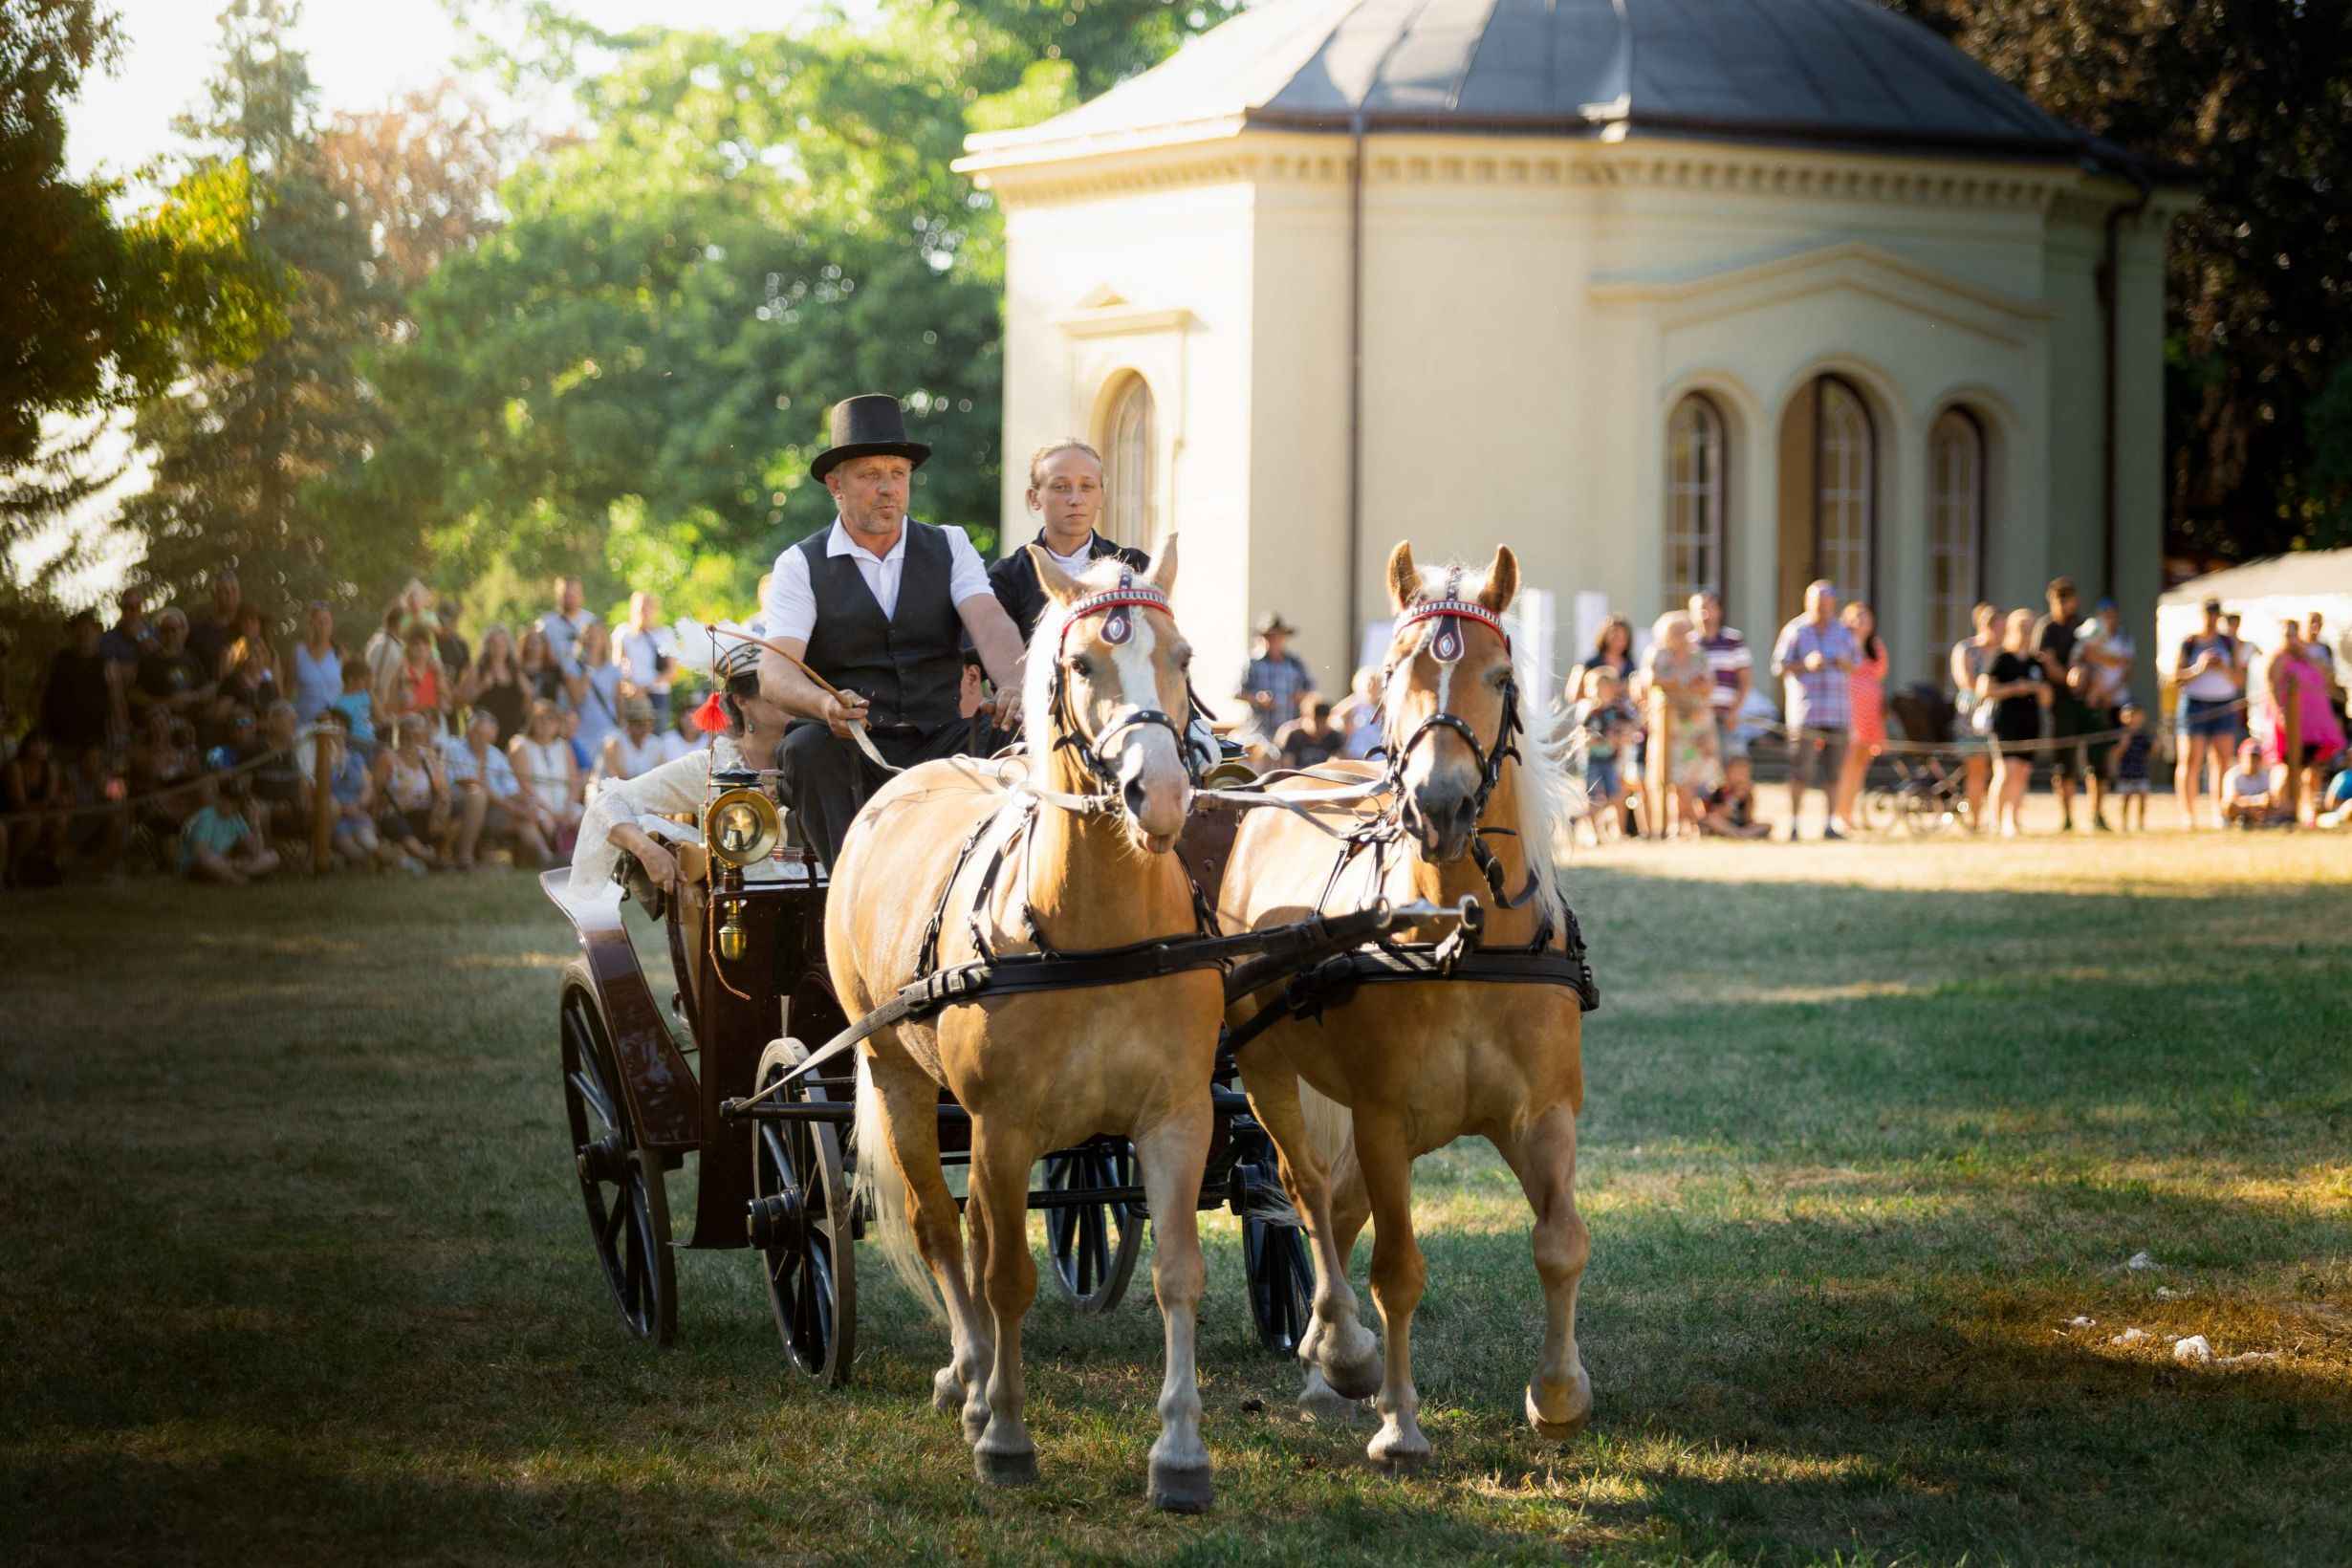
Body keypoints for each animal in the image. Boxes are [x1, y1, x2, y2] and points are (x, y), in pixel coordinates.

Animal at [827, 535, 1232, 1504]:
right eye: (1082, 664)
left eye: (1183, 656)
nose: (1162, 795)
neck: (1099, 933)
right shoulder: (1002, 1126)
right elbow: (1005, 1275)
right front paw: (1007, 1434)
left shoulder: (1178, 1116)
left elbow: (1177, 1274)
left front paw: (1180, 1452)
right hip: (897, 1078)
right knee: (945, 1230)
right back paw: (974, 1378)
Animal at [1223, 542, 1589, 1476]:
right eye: (1392, 674)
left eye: (1501, 677)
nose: (1441, 804)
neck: (1458, 932)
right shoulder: (1383, 1116)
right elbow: (1397, 1271)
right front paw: (1398, 1422)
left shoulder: (1543, 1114)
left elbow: (1560, 1242)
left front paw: (1558, 1395)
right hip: (1270, 1072)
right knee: (1311, 1194)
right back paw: (1339, 1350)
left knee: (1341, 1205)